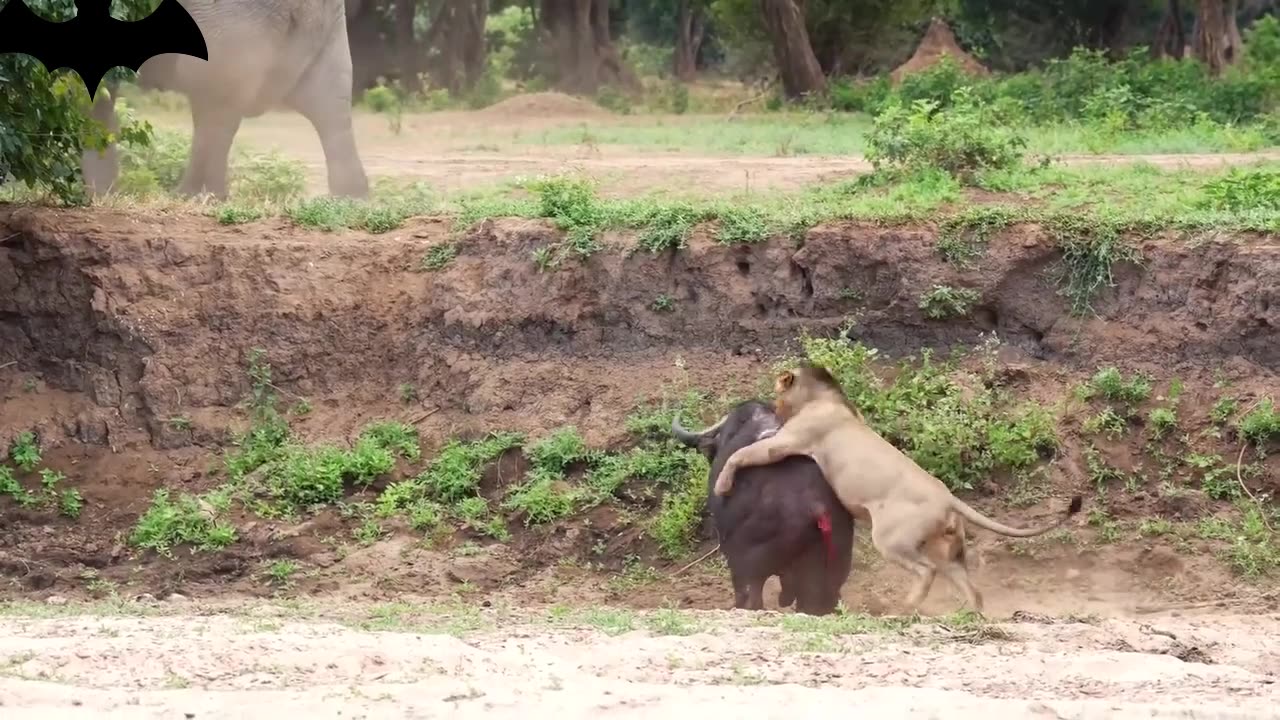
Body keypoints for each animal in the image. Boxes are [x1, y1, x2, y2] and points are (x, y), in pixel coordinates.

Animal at [711, 361, 1080, 614]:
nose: (773, 406)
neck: (827, 398)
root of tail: (948, 497)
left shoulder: (788, 441)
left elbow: (743, 454)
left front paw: (723, 484)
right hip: (948, 550)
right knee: (970, 588)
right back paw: (967, 618)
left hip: (891, 539)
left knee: (926, 571)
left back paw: (904, 608)